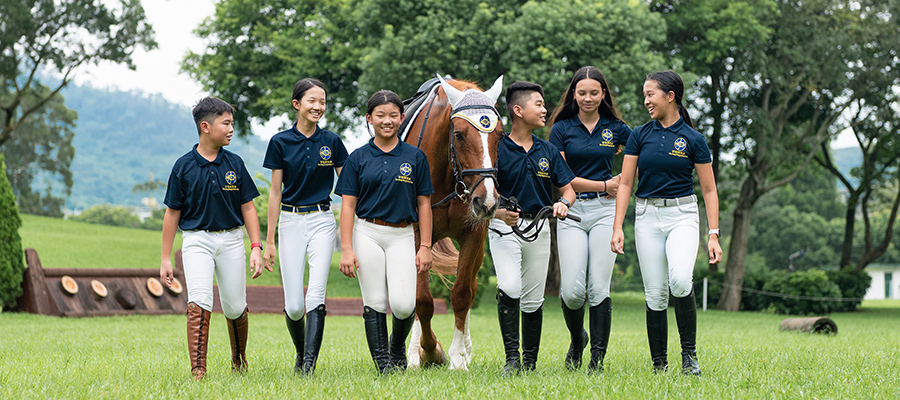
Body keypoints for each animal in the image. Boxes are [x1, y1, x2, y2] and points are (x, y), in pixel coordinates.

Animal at [404, 76, 502, 372]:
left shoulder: (473, 235)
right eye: (458, 135)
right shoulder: (416, 237)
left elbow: (461, 295)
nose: (487, 200)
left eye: (500, 135)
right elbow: (422, 299)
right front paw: (427, 350)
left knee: (470, 289)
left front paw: (458, 357)